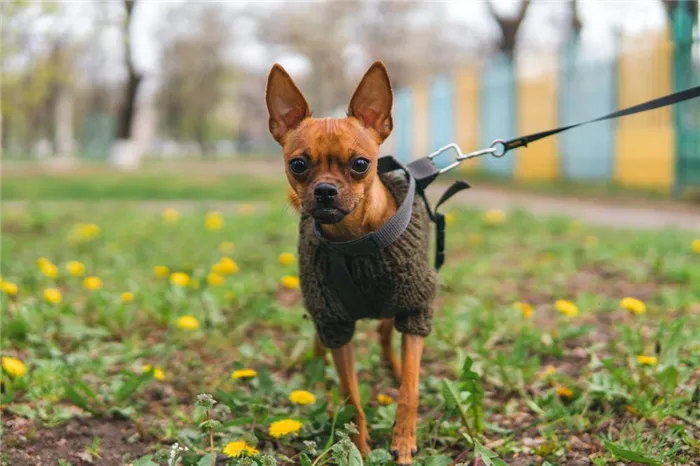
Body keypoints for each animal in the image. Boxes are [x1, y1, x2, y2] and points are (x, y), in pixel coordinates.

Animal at [266, 61, 434, 462]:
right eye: (298, 165)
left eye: (360, 164)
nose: (325, 190)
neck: (356, 242)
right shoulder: (336, 323)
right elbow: (351, 396)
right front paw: (356, 447)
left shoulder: (414, 311)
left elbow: (410, 390)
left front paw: (403, 440)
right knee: (323, 341)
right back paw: (314, 372)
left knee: (386, 334)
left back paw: (392, 367)